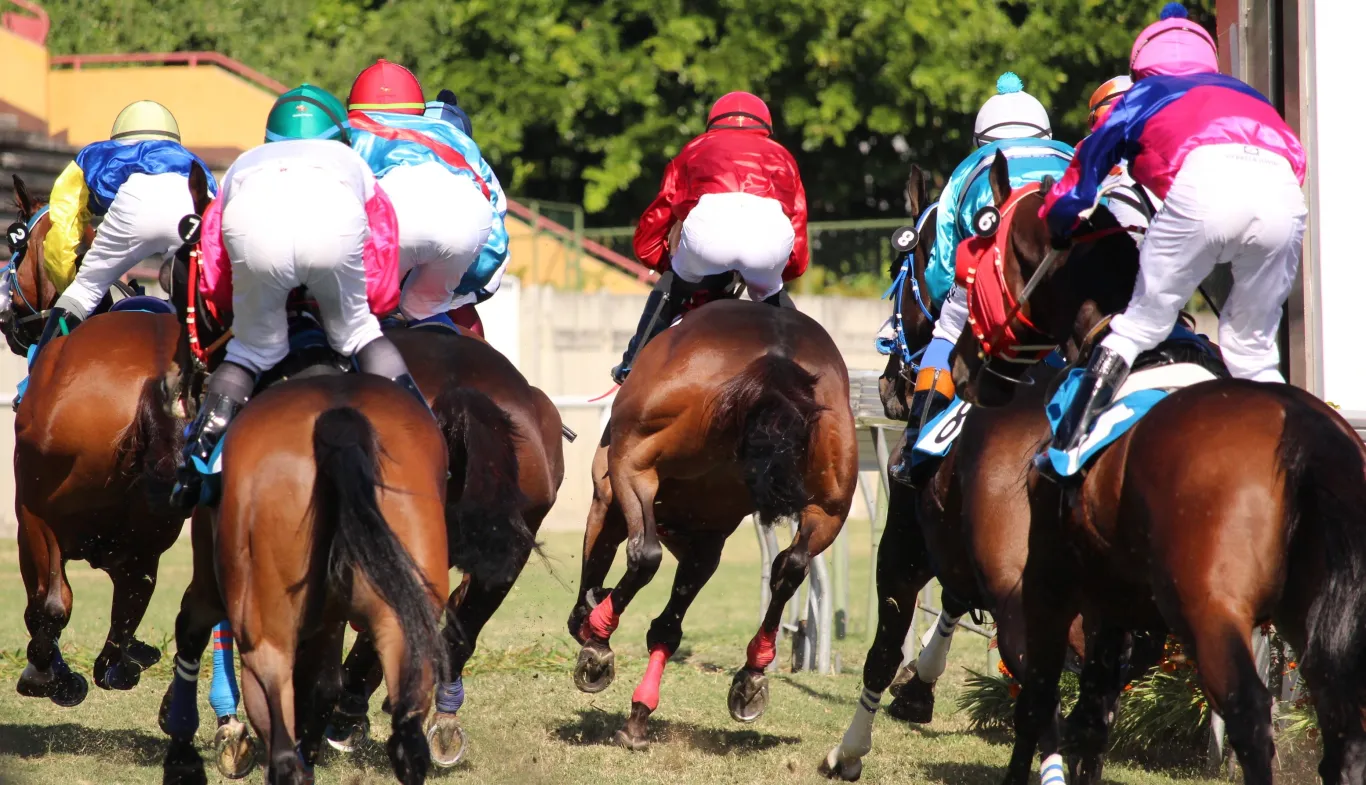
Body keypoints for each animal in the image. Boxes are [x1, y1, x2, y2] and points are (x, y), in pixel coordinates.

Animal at [6, 173, 194, 707]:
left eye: (14, 242)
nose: (6, 320)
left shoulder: (32, 521)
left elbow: (44, 606)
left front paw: (45, 673)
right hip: (150, 534)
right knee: (128, 612)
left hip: (39, 515)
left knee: (54, 604)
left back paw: (51, 676)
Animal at [160, 374, 451, 785]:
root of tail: (338, 421)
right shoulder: (331, 620)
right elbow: (324, 686)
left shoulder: (211, 581)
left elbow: (190, 629)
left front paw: (182, 750)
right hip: (403, 611)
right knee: (406, 739)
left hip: (262, 628)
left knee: (278, 724)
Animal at [564, 298, 857, 749]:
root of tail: (778, 356)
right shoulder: (707, 543)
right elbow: (668, 627)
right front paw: (639, 716)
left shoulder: (608, 500)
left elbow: (606, 559)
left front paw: (594, 637)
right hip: (830, 506)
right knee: (791, 565)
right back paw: (752, 673)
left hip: (634, 466)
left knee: (645, 555)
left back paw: (598, 634)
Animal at [950, 152, 1366, 785]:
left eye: (971, 267)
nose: (960, 364)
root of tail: (1304, 435)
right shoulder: (1112, 599)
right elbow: (1093, 717)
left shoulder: (1049, 579)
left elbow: (1038, 700)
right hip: (1313, 612)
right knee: (1342, 729)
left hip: (1211, 612)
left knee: (1250, 716)